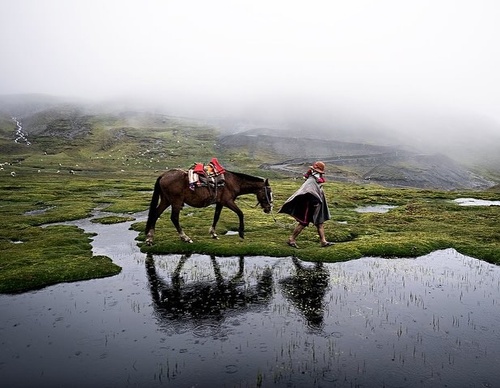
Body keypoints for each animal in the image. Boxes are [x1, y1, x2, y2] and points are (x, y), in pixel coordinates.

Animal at [145, 168, 274, 244]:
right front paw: (241, 233)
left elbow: (216, 217)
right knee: (174, 218)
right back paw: (185, 237)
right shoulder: (228, 201)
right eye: (268, 192)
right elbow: (240, 213)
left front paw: (213, 233)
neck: (233, 182)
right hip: (176, 202)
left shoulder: (220, 203)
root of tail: (163, 175)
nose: (269, 208)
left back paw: (150, 238)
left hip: (166, 200)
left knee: (155, 214)